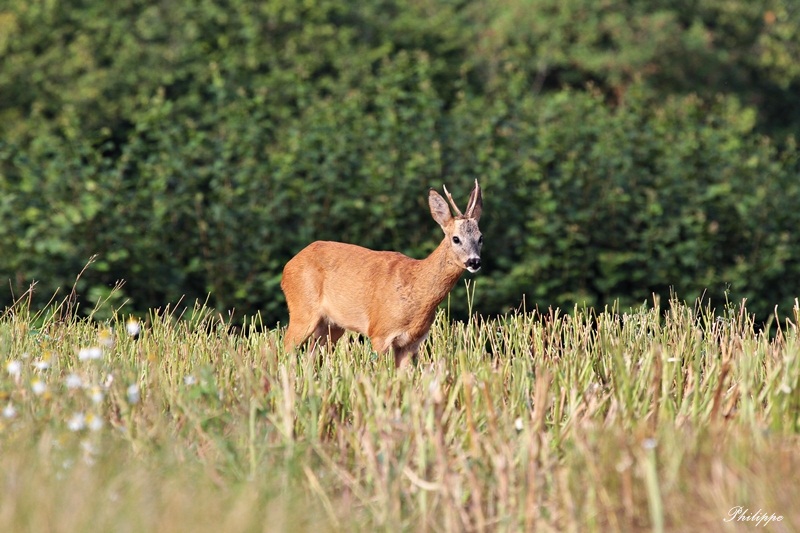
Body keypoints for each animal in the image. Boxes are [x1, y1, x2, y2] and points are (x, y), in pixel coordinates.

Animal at [282, 179, 482, 366]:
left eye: (480, 238)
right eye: (456, 238)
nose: (474, 261)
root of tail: (287, 267)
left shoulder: (411, 342)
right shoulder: (379, 332)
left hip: (331, 325)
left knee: (311, 355)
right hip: (302, 310)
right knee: (286, 348)